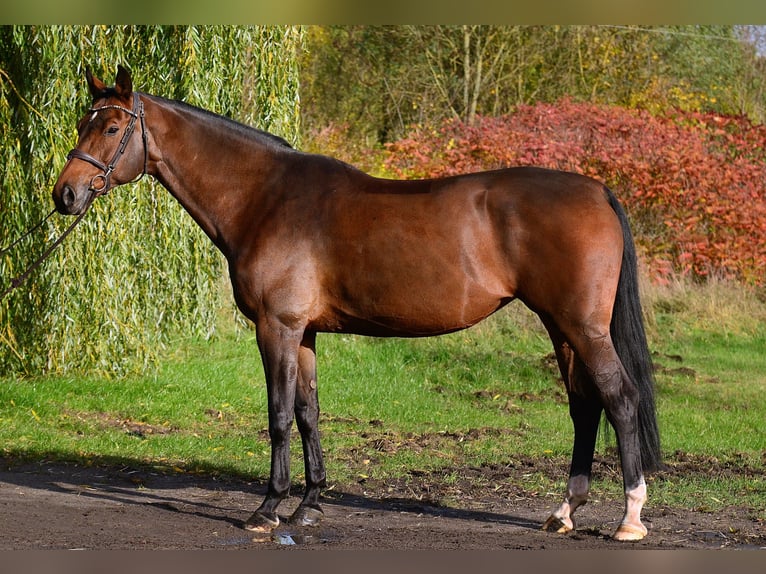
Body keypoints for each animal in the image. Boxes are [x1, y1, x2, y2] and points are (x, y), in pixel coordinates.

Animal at [52, 66, 661, 541]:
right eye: (83, 123)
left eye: (111, 127)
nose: (66, 194)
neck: (264, 198)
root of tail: (597, 190)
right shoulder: (305, 332)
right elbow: (308, 413)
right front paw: (309, 505)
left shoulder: (276, 327)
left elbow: (278, 415)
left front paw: (268, 508)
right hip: (560, 326)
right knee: (584, 405)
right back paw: (564, 512)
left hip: (583, 327)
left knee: (619, 397)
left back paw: (630, 517)